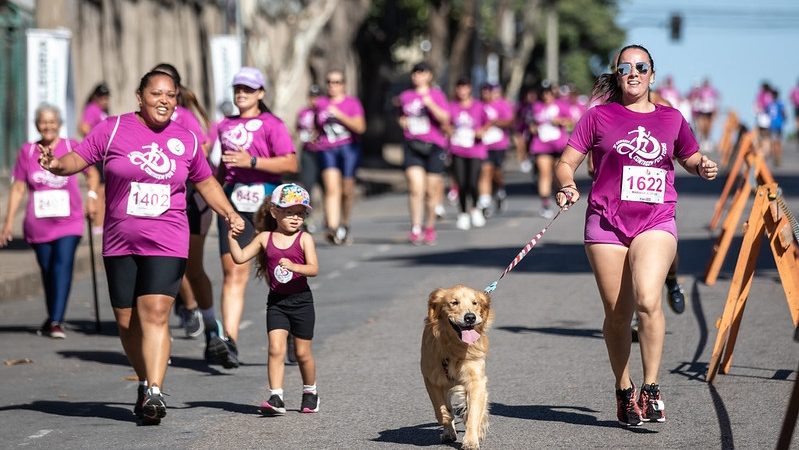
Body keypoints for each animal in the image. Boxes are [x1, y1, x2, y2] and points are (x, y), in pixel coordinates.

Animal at [418, 286, 494, 448]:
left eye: (475, 303)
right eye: (454, 302)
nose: (470, 317)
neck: (454, 346)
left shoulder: (475, 380)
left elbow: (473, 414)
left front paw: (471, 441)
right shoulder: (432, 379)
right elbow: (442, 411)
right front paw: (448, 423)